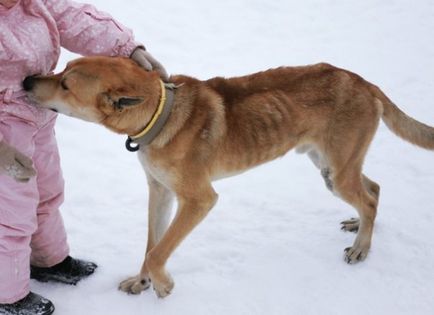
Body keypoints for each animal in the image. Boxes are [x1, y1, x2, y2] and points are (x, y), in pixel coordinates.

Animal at [23, 57, 434, 298]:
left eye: (66, 84)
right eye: (61, 69)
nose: (26, 80)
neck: (162, 114)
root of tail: (365, 83)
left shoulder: (199, 200)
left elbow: (159, 252)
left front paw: (163, 285)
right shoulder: (160, 192)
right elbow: (151, 244)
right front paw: (142, 282)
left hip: (337, 170)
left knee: (369, 198)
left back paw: (361, 248)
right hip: (330, 167)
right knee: (374, 189)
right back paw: (358, 227)